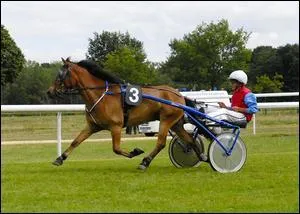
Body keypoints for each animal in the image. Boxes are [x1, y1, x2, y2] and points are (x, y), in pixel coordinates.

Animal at [47, 57, 202, 171]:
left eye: (60, 75)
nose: (49, 91)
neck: (101, 95)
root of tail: (179, 95)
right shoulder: (92, 126)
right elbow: (76, 141)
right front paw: (60, 158)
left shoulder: (115, 126)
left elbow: (116, 149)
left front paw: (135, 152)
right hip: (176, 123)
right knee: (189, 139)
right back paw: (202, 156)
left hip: (166, 120)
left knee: (161, 143)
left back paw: (145, 162)